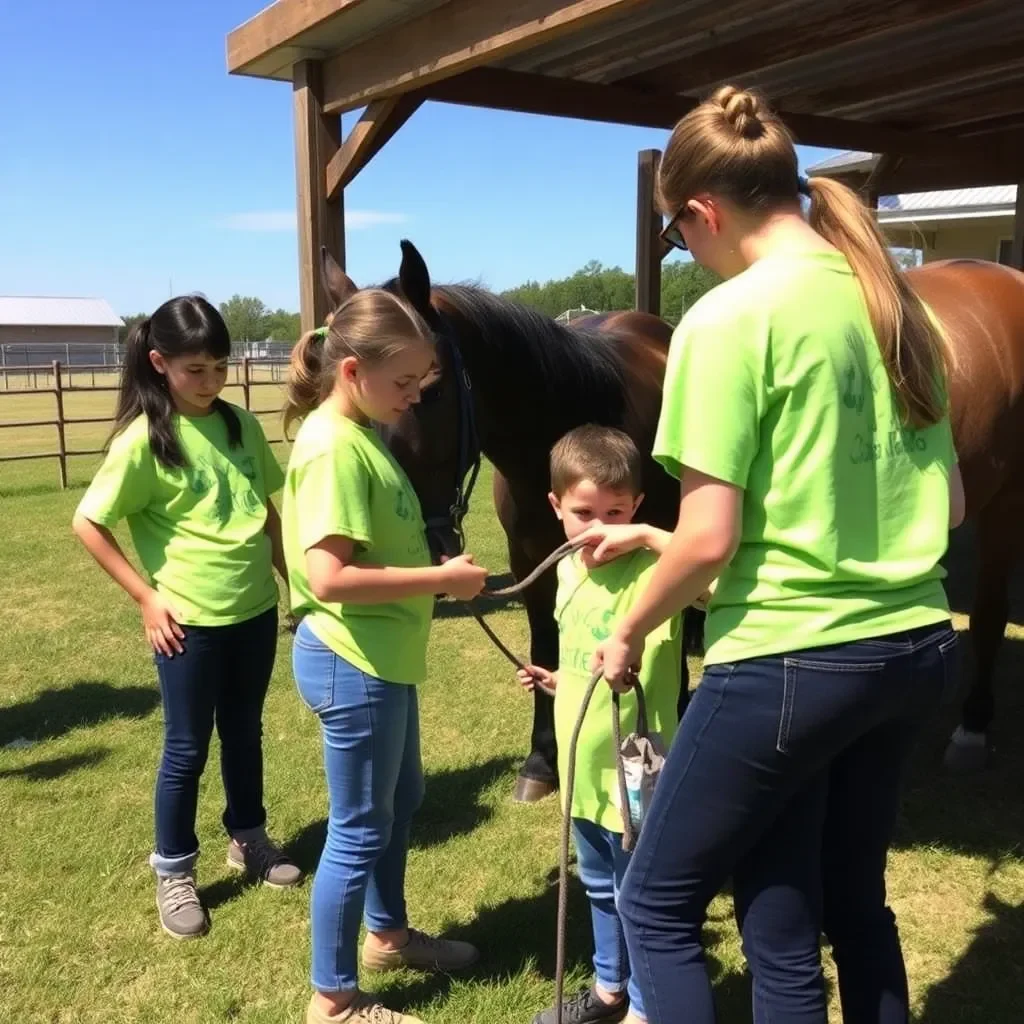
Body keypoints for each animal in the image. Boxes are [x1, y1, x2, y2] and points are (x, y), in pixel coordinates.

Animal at [317, 239, 1024, 798]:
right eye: (340, 380)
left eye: (430, 386)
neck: (569, 422)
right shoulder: (533, 564)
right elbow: (546, 646)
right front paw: (542, 761)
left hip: (1001, 506)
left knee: (988, 612)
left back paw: (974, 725)